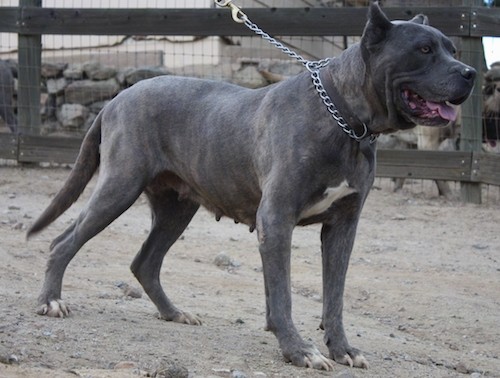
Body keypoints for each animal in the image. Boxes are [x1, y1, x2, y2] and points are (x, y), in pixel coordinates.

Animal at [29, 2, 474, 372]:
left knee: (145, 261)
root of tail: (117, 96)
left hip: (177, 208)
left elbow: (333, 297)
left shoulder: (342, 226)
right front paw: (299, 350)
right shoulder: (276, 219)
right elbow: (285, 294)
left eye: (452, 48)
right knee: (63, 242)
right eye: (424, 50)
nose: (469, 73)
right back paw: (51, 300)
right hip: (119, 187)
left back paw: (174, 313)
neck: (347, 120)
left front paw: (341, 348)